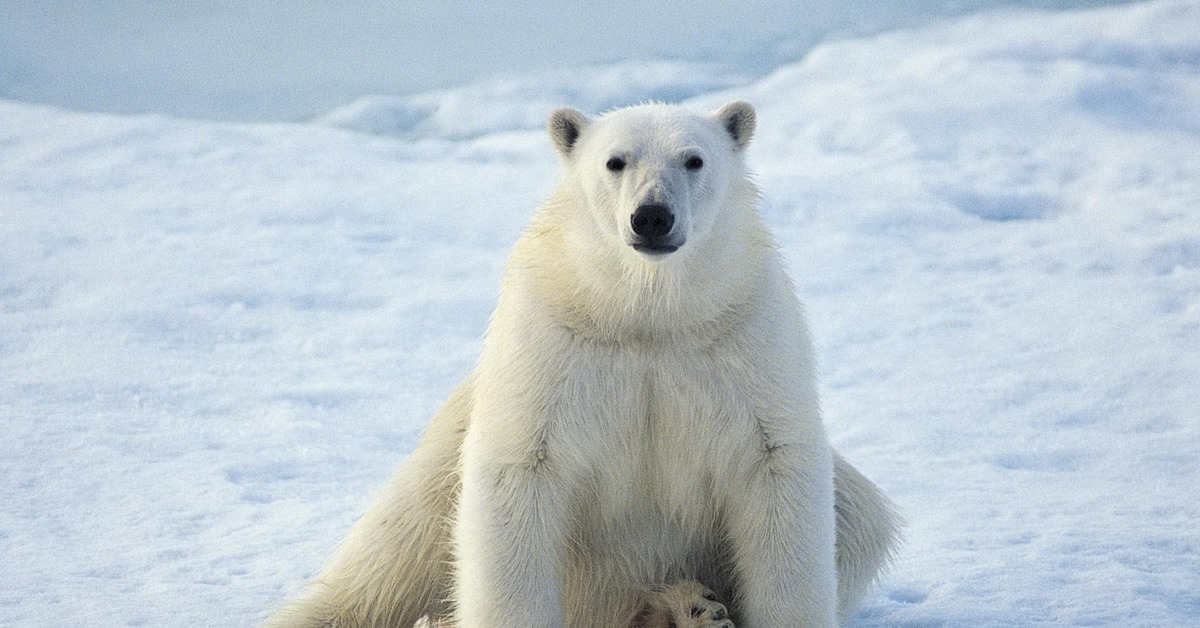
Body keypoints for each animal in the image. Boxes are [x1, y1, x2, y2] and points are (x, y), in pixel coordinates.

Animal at [265, 103, 902, 628]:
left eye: (693, 159)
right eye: (615, 161)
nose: (652, 216)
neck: (646, 314)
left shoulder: (744, 334)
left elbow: (776, 465)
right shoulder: (551, 341)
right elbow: (520, 469)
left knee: (862, 517)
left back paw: (689, 608)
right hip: (439, 465)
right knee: (390, 555)